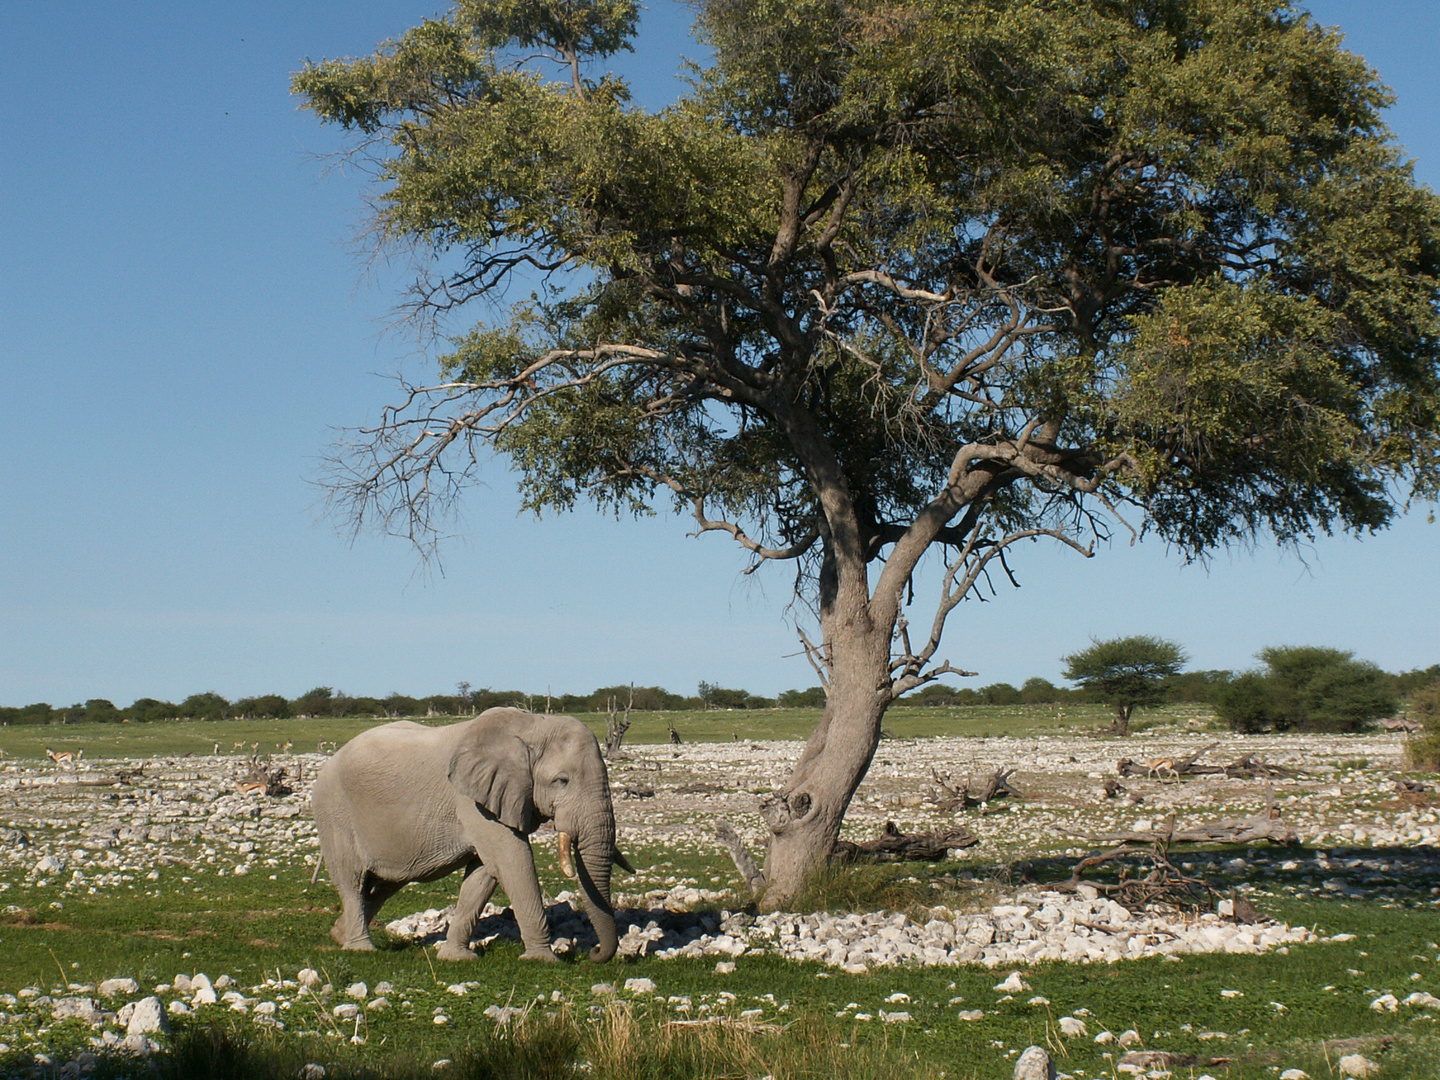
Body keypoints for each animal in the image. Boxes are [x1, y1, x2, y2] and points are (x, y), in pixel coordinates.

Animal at [312, 711, 627, 961]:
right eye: (562, 781)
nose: (594, 953)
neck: (533, 725)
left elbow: (484, 872)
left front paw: (456, 958)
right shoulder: (471, 801)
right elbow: (511, 861)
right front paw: (543, 960)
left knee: (388, 882)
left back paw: (339, 935)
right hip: (334, 812)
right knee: (352, 879)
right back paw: (360, 948)